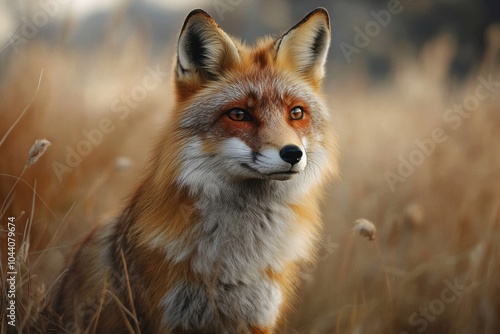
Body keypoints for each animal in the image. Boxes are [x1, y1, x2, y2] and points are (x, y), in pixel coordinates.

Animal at [53, 7, 336, 334]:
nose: (293, 154)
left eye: (296, 113)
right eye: (239, 114)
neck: (235, 264)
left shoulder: (257, 318)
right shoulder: (164, 317)